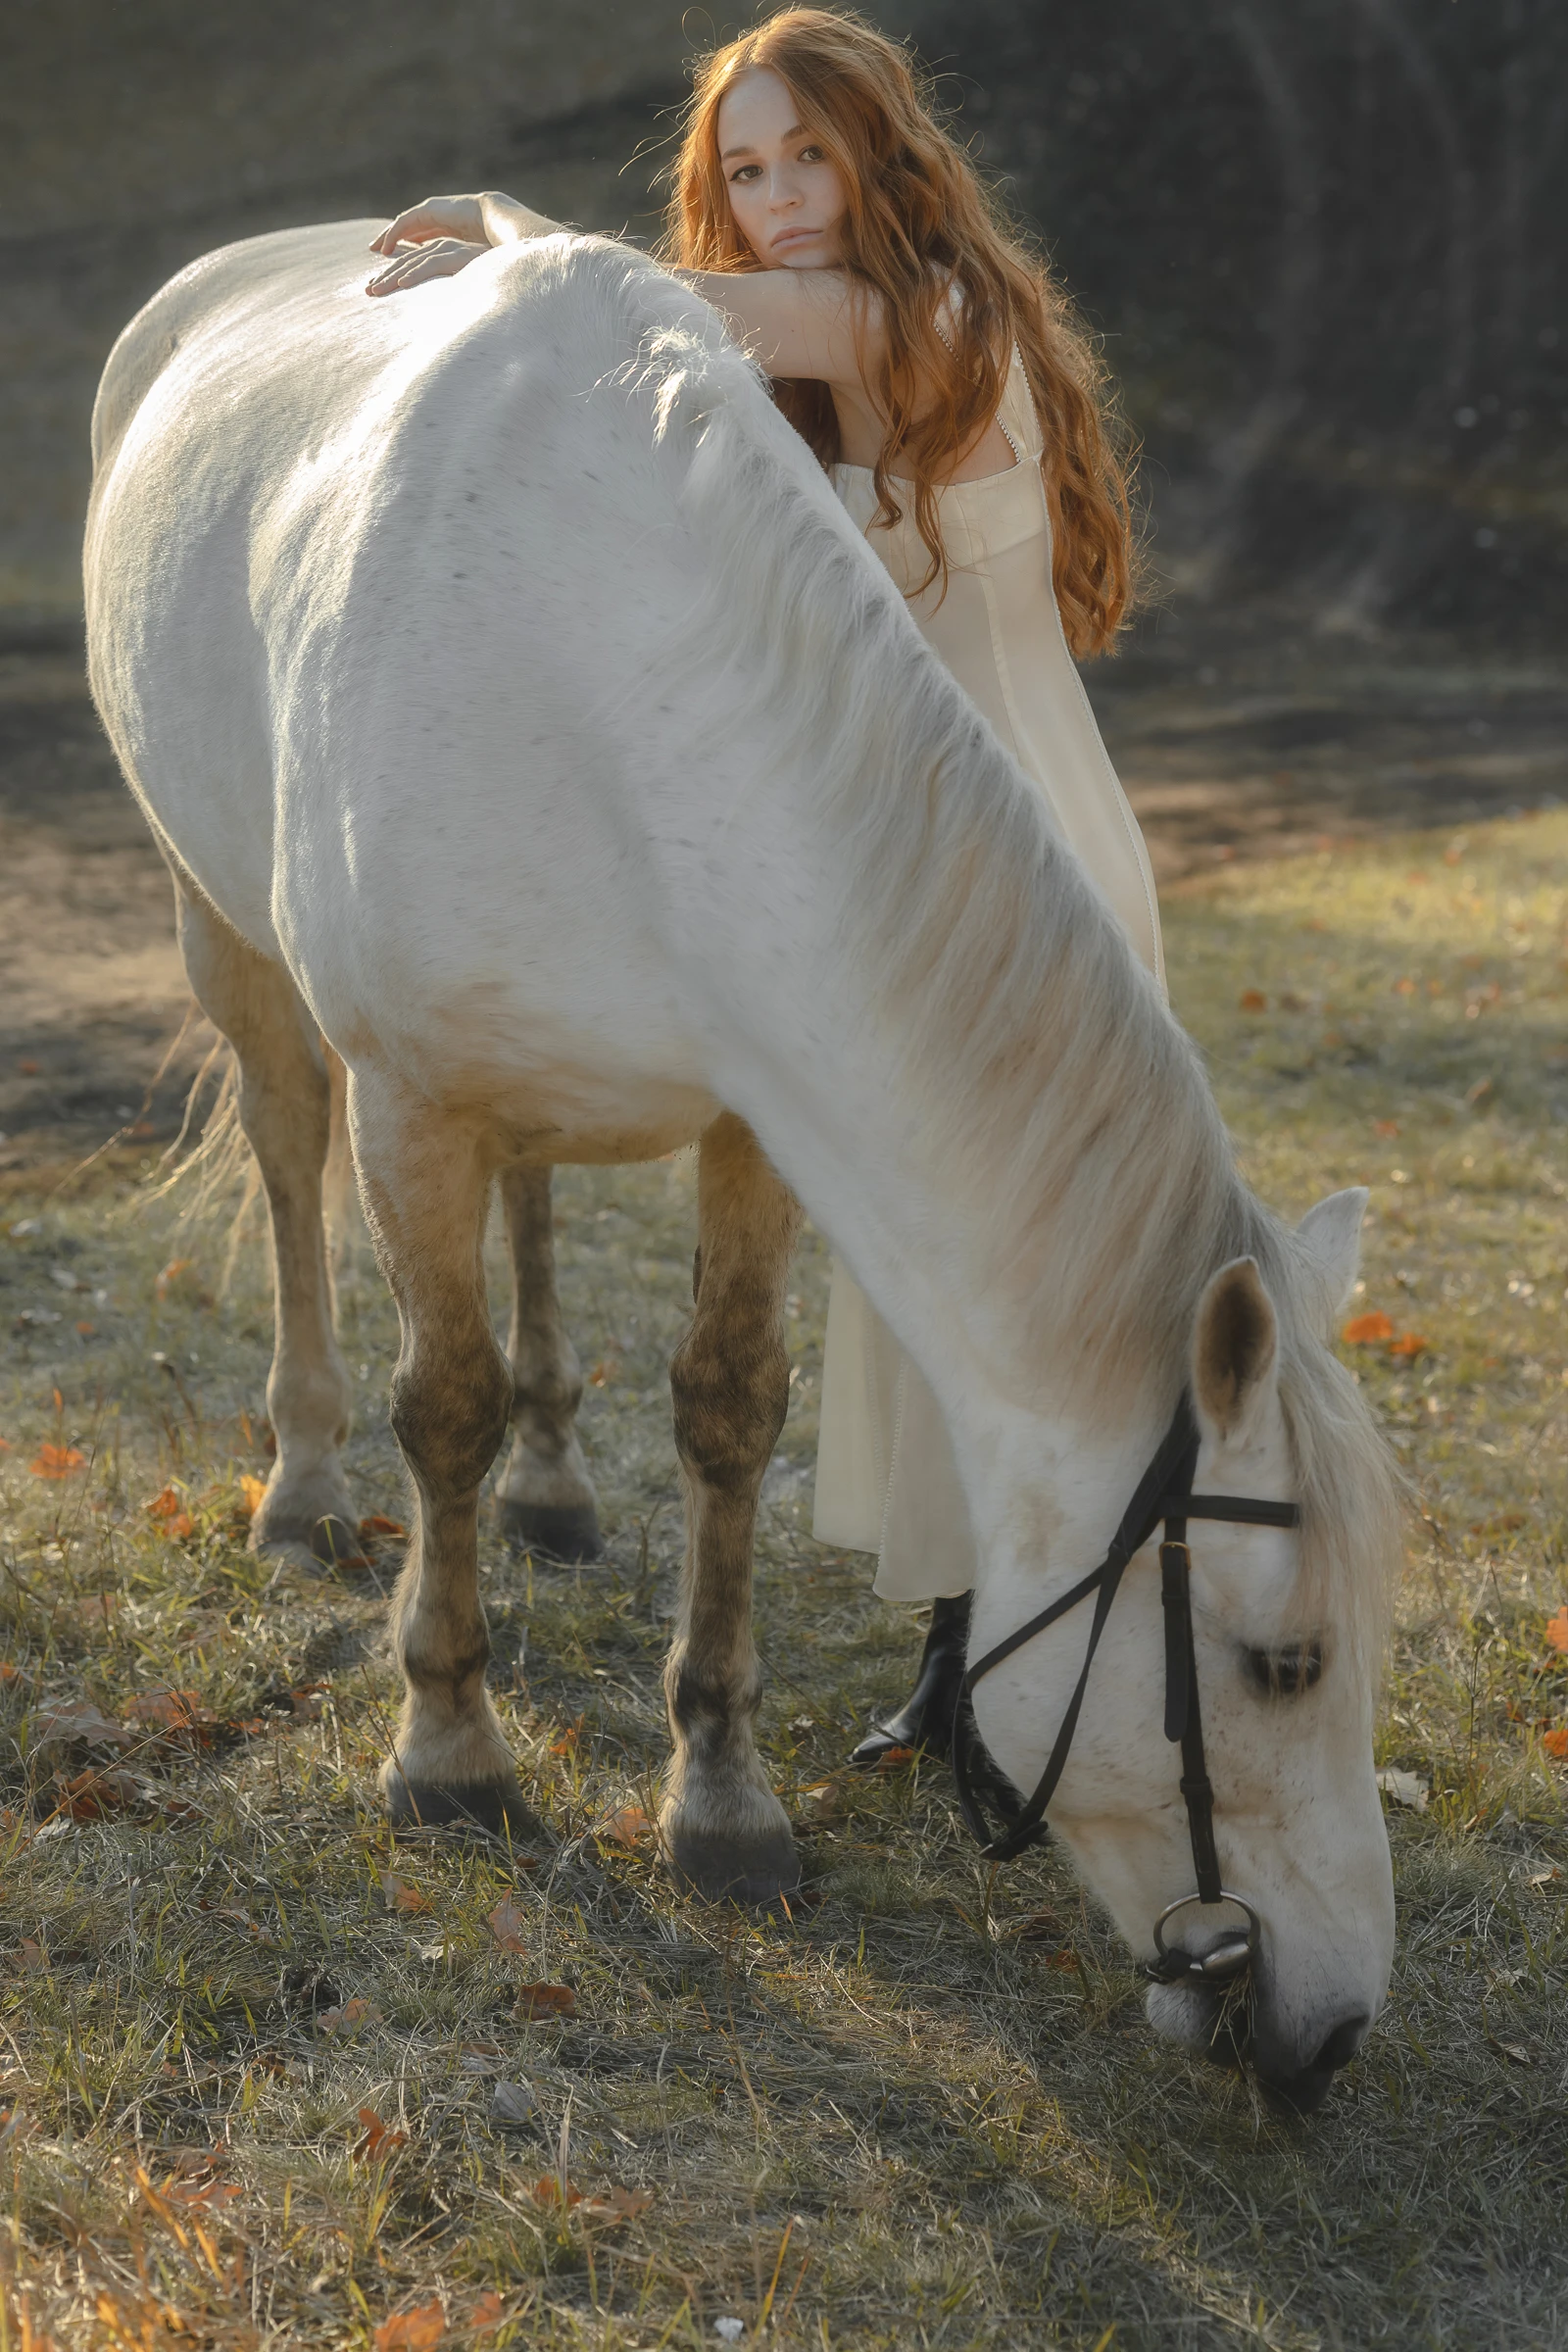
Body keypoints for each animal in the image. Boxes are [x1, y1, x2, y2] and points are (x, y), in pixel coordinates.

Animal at [85, 221, 1401, 2111]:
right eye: (1282, 1664)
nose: (1339, 2025)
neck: (621, 678)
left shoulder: (746, 1121)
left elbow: (727, 1413)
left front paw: (718, 1794)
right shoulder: (413, 1098)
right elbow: (443, 1409)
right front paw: (450, 1748)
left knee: (535, 1211)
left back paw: (556, 1487)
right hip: (225, 937)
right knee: (286, 1160)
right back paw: (309, 1482)